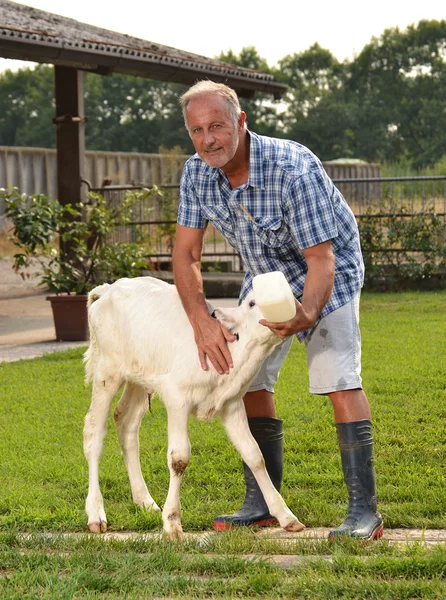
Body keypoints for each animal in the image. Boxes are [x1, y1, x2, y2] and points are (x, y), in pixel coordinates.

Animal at [83, 276, 304, 540]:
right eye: (252, 303)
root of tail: (108, 288)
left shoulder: (232, 404)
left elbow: (254, 454)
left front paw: (286, 516)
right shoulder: (177, 398)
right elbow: (179, 458)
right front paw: (172, 522)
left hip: (139, 375)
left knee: (125, 422)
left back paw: (145, 501)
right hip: (107, 371)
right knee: (94, 432)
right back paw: (96, 514)